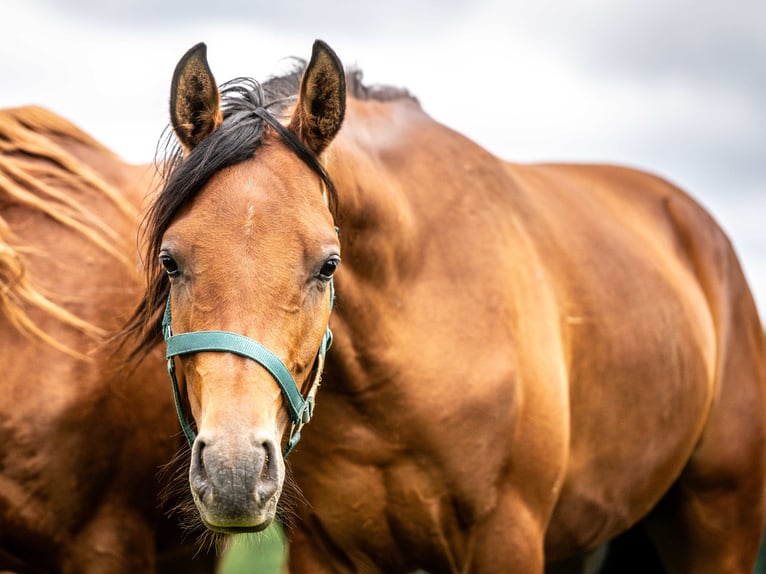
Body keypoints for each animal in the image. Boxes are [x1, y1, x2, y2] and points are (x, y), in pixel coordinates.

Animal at [127, 41, 766, 574]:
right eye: (170, 261)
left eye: (328, 264)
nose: (234, 472)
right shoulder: (325, 551)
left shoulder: (506, 540)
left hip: (718, 523)